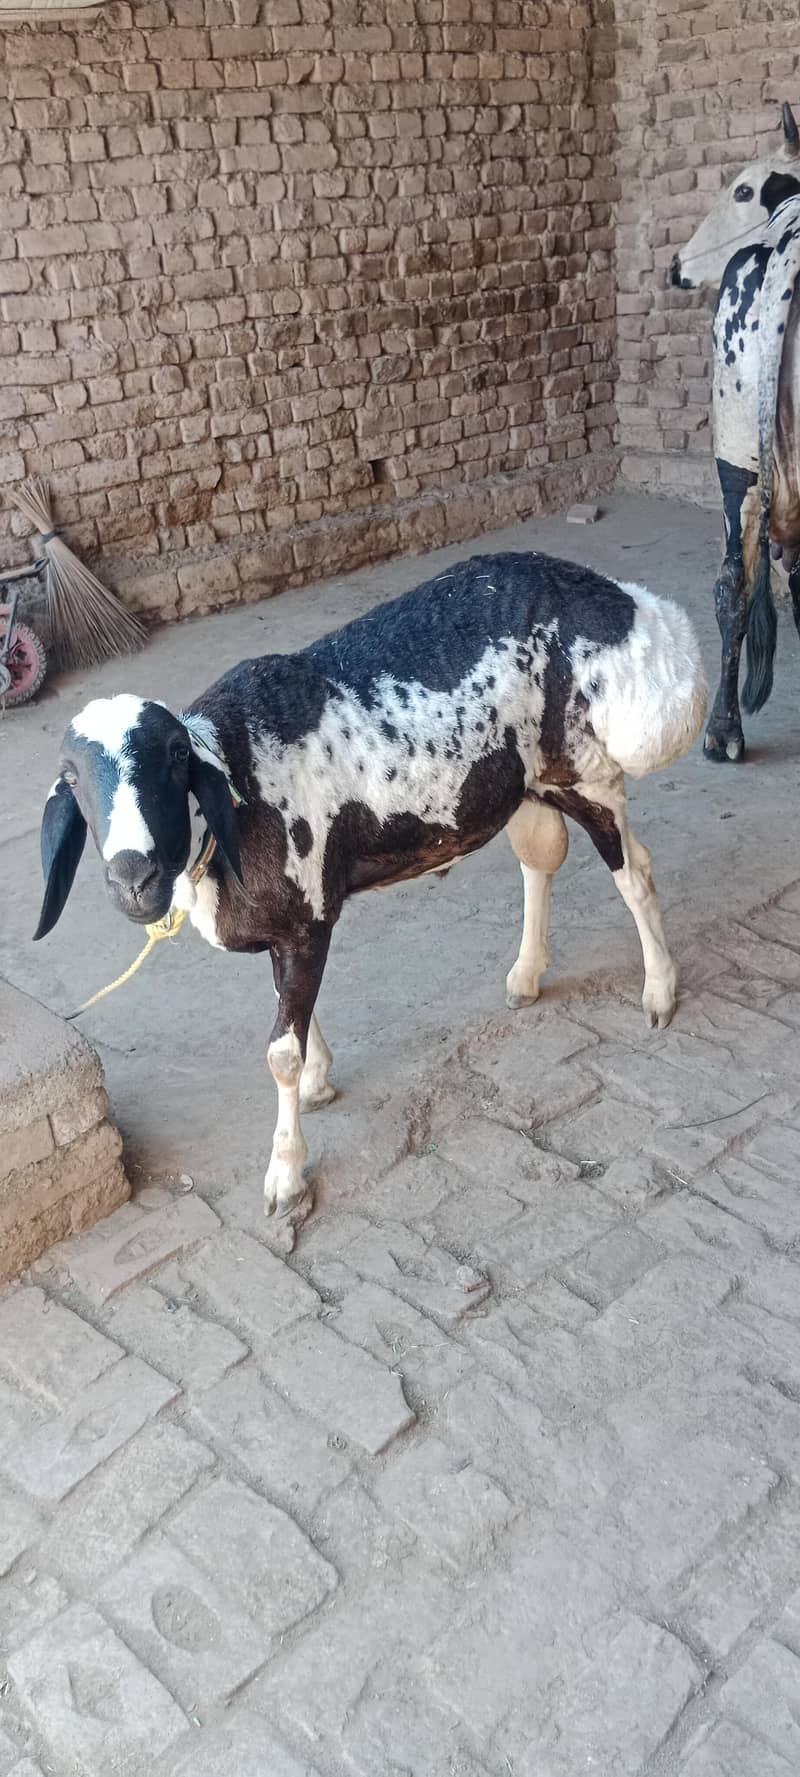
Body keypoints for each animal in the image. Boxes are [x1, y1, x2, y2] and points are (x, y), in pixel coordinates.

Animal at [33, 549, 707, 1218]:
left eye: (176, 757)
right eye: (70, 779)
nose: (133, 877)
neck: (234, 779)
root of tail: (623, 601)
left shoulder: (306, 919)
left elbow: (279, 1052)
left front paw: (285, 1175)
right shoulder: (289, 925)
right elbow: (288, 1009)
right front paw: (317, 1081)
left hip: (584, 770)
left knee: (634, 873)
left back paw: (658, 991)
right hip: (525, 784)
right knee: (541, 859)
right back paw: (526, 976)